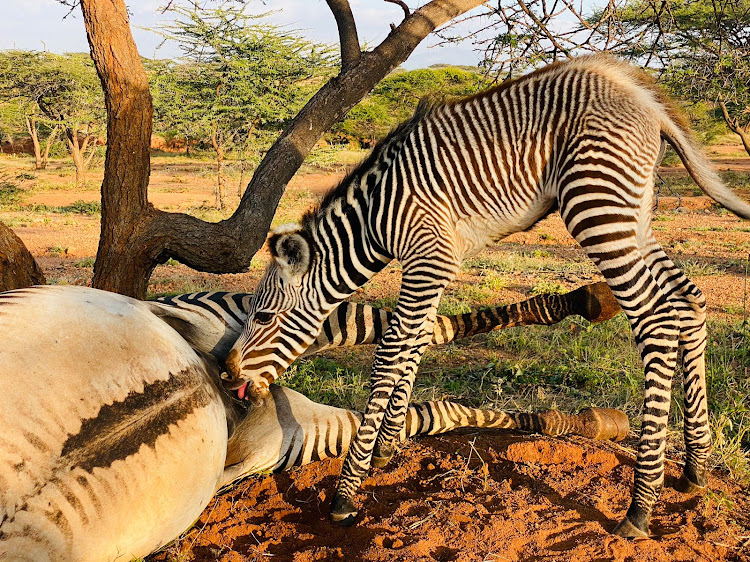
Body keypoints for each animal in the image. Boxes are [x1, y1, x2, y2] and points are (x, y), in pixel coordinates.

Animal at [223, 55, 750, 532]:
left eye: (264, 317)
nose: (228, 375)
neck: (374, 220)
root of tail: (638, 92)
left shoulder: (427, 256)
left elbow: (390, 355)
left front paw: (348, 490)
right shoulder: (434, 264)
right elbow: (415, 345)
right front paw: (389, 448)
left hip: (597, 206)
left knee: (656, 318)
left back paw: (640, 505)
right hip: (633, 216)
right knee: (689, 300)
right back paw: (695, 468)